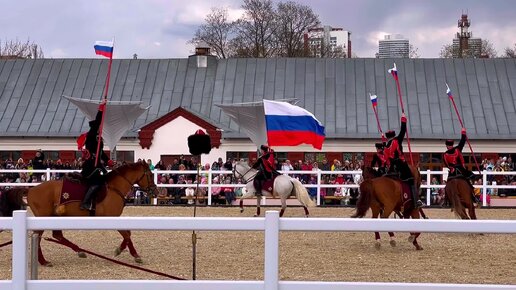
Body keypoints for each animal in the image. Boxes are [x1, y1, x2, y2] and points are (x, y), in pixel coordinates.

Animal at [0, 162, 157, 266]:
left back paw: (79, 251)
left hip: (55, 216)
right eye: (150, 175)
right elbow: (126, 235)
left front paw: (122, 251)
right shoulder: (112, 217)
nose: (155, 191)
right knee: (38, 237)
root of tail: (31, 190)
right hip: (44, 217)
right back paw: (43, 261)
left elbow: (128, 233)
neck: (114, 188)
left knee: (57, 235)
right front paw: (132, 254)